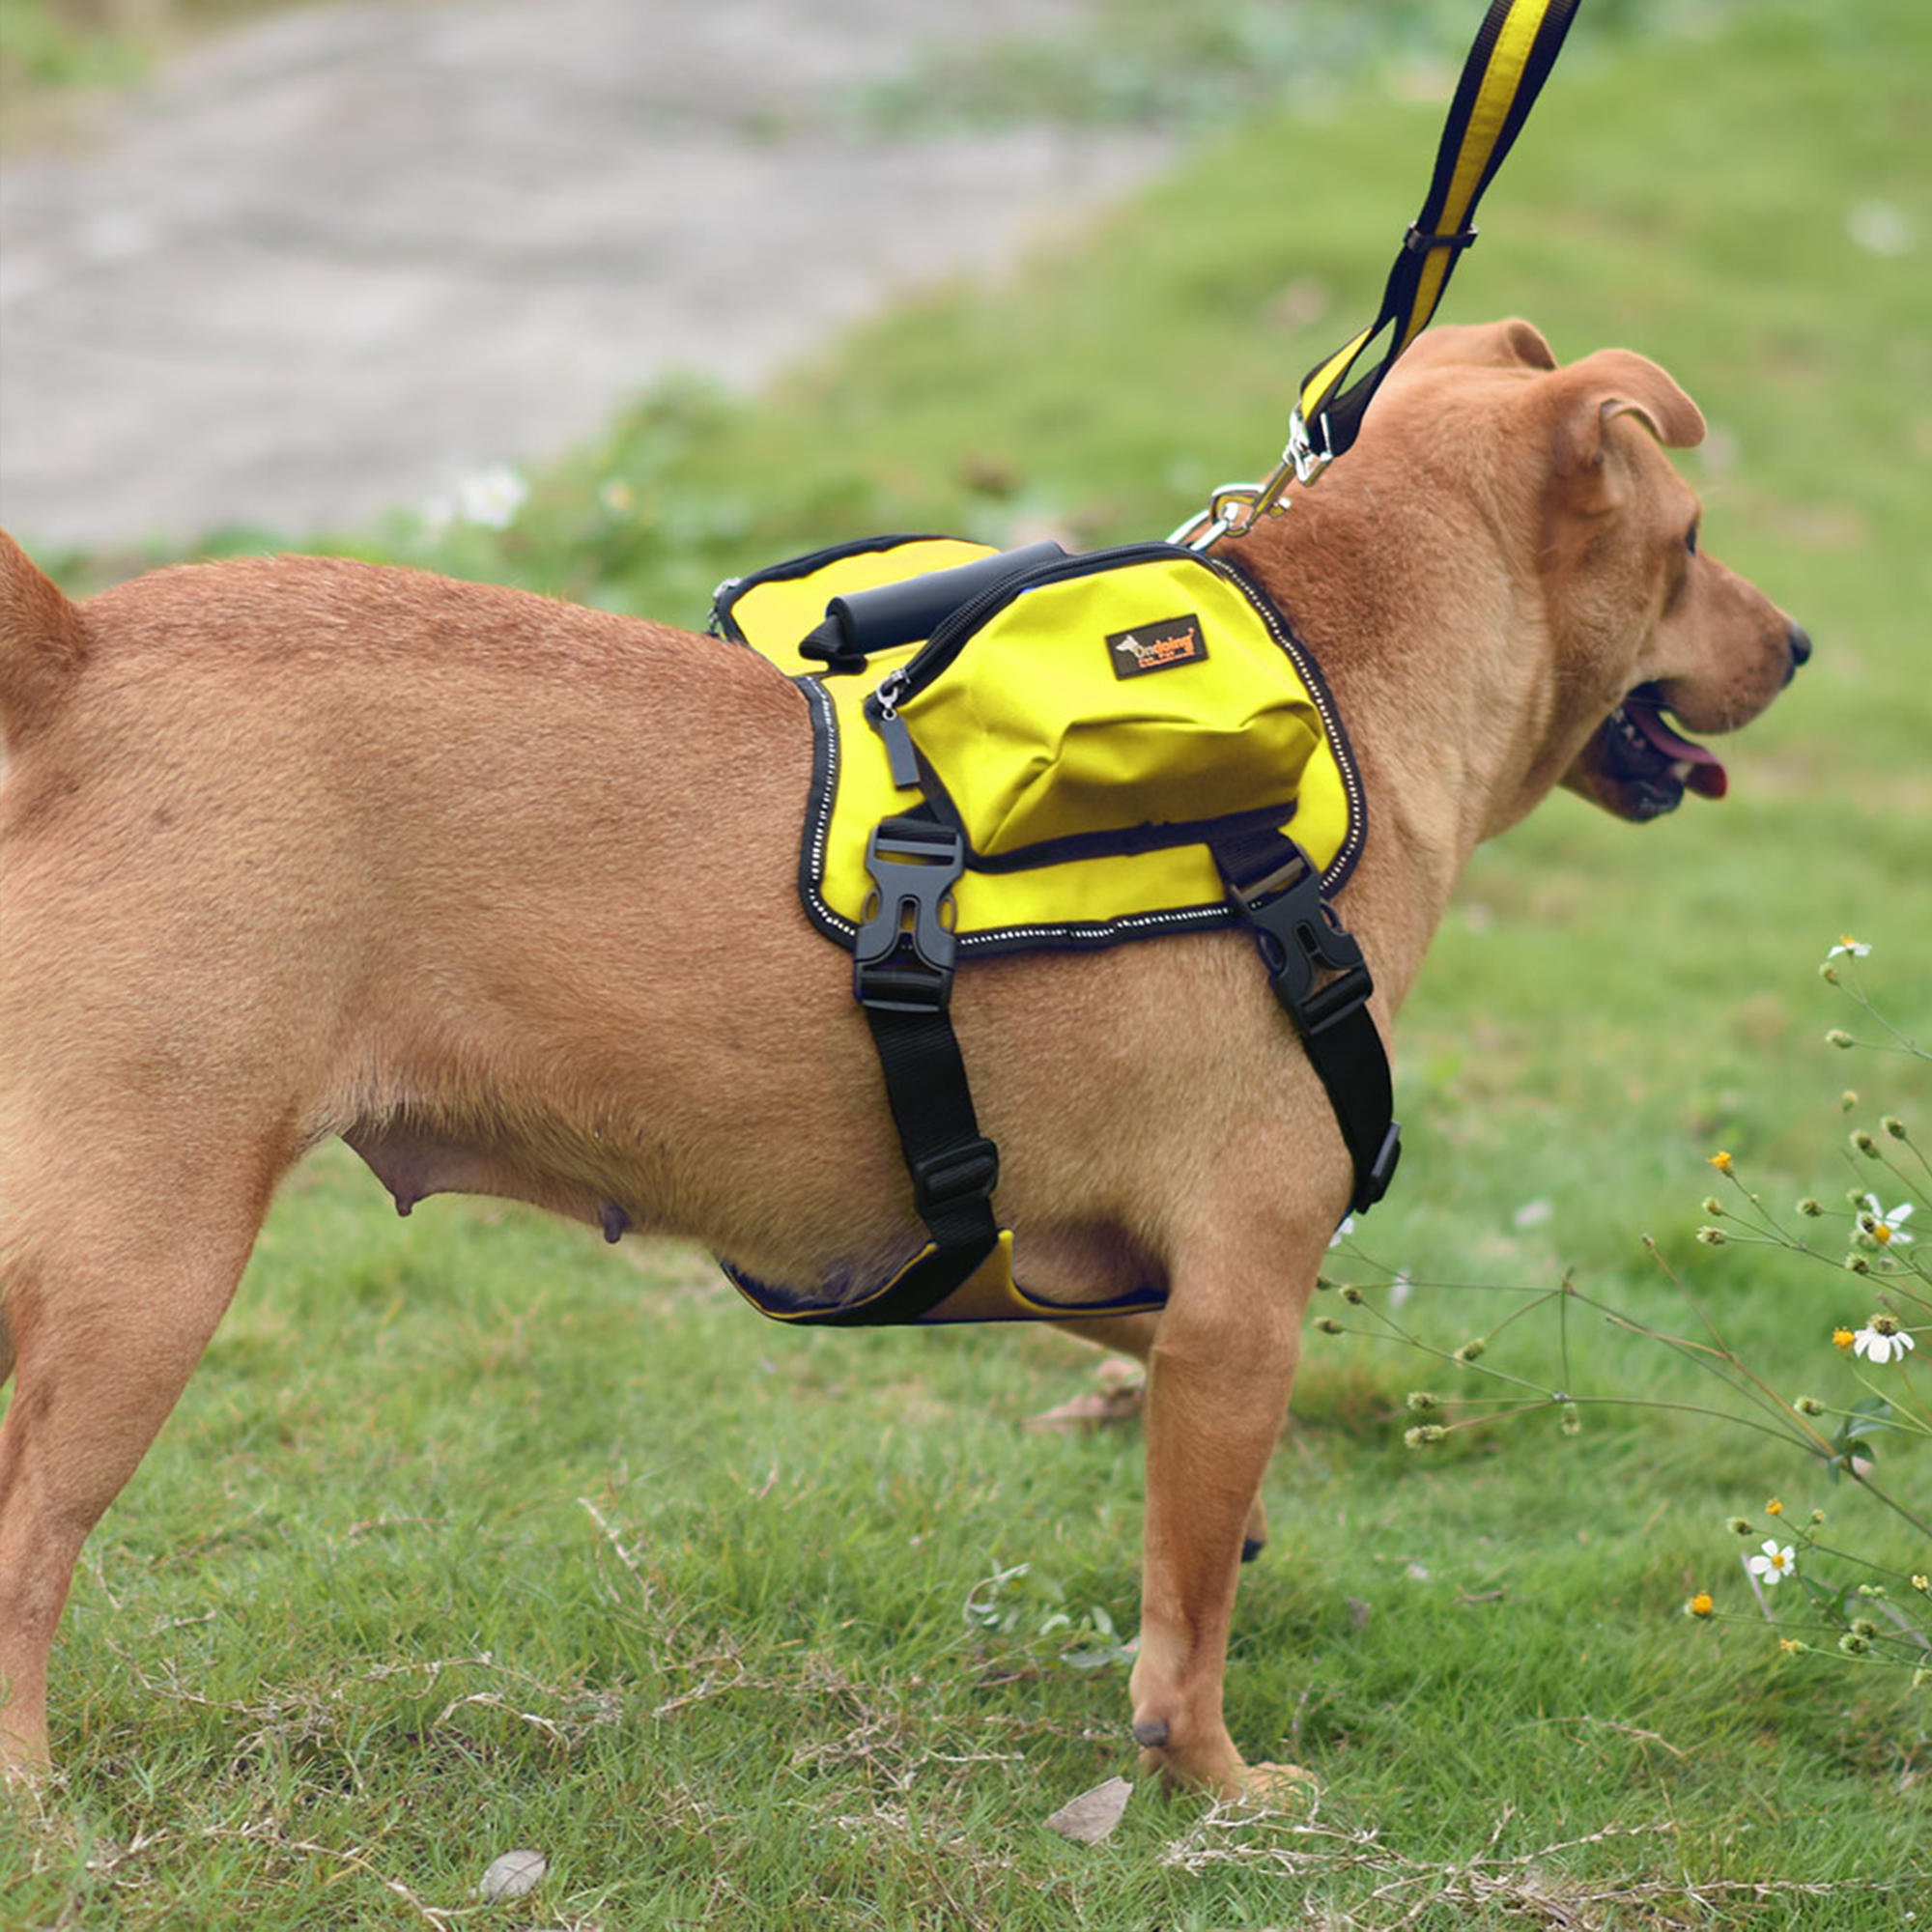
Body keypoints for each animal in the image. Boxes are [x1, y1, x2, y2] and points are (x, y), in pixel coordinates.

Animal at [3, 313, 1808, 1793]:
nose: (1796, 646)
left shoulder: (1113, 1277)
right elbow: (1190, 1629)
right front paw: (1214, 1782)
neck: (1340, 682)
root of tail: (86, 657)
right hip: (144, 1280)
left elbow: (1182, 1487)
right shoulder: (1242, 1296)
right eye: (1694, 542)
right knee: (27, 1550)